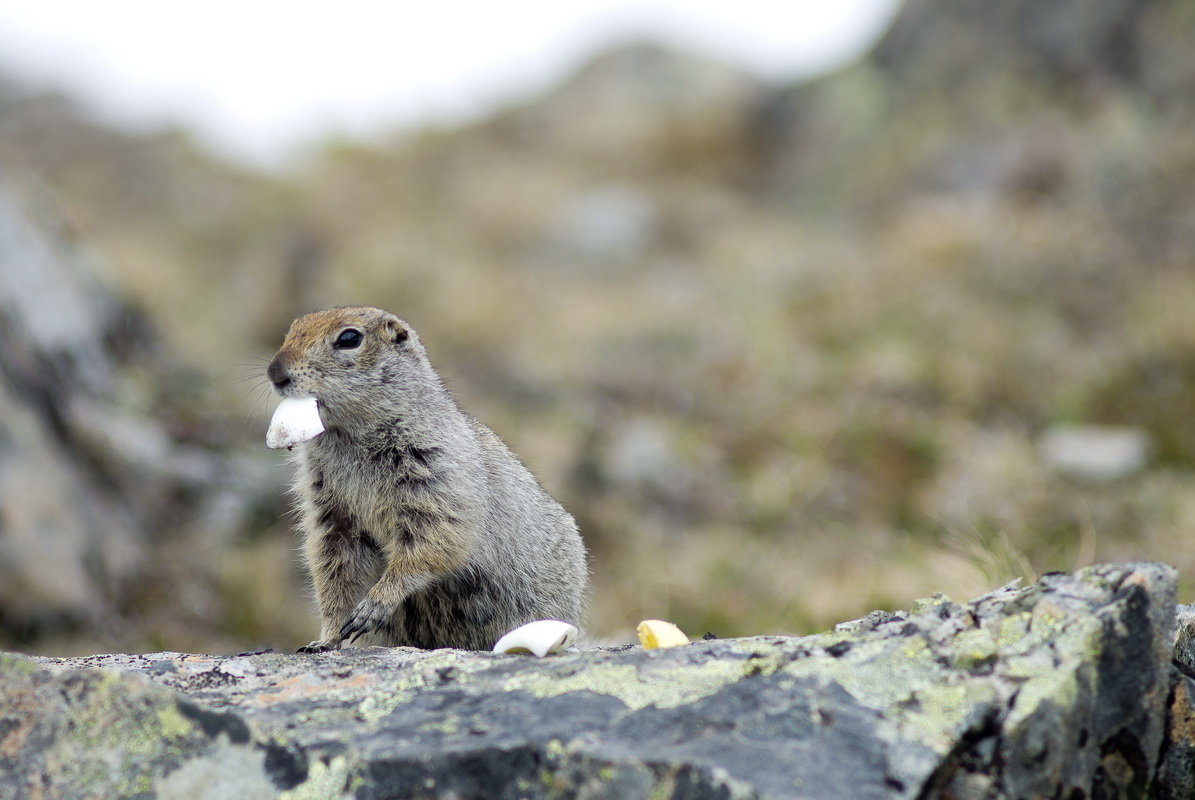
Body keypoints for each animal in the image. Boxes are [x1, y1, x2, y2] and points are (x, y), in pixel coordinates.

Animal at [268, 306, 590, 650]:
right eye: (292, 329)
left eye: (349, 338)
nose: (275, 372)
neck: (351, 438)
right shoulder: (327, 507)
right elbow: (332, 570)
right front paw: (324, 640)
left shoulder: (436, 473)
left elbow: (435, 538)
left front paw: (374, 604)